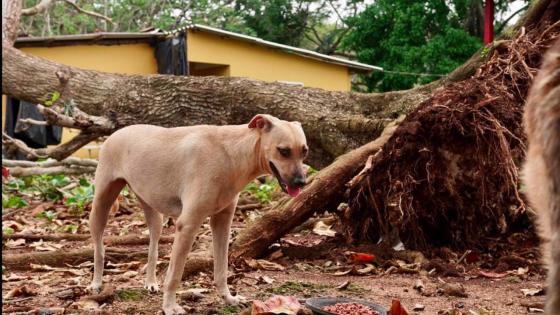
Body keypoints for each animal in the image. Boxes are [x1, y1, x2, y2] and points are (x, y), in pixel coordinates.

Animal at [88, 115, 308, 314]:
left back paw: (150, 282)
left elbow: (221, 269)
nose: (301, 183)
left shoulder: (222, 223)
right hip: (100, 205)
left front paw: (228, 298)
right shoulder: (187, 225)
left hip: (153, 213)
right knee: (99, 248)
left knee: (153, 248)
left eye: (304, 151)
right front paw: (170, 307)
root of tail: (116, 133)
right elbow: (174, 275)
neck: (230, 154)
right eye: (284, 151)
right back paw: (97, 282)